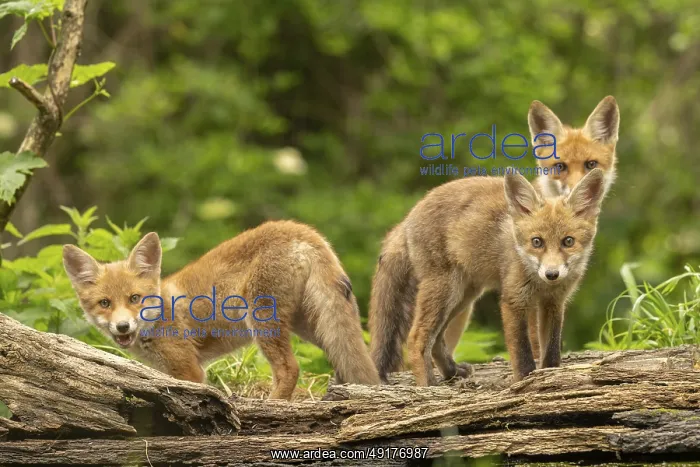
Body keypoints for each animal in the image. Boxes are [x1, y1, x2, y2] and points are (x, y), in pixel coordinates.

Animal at [63, 220, 380, 400]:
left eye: (134, 298)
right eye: (105, 303)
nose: (122, 327)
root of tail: (301, 229)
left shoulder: (189, 371)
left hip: (262, 321)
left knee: (290, 368)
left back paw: (274, 404)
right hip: (312, 325)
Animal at [368, 169, 606, 385]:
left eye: (568, 241)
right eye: (537, 242)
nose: (552, 274)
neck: (540, 283)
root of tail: (408, 217)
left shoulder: (554, 302)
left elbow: (552, 348)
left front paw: (550, 376)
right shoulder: (514, 299)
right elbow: (522, 351)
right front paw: (525, 380)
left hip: (464, 296)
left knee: (437, 339)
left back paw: (452, 372)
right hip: (446, 290)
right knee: (417, 337)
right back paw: (428, 385)